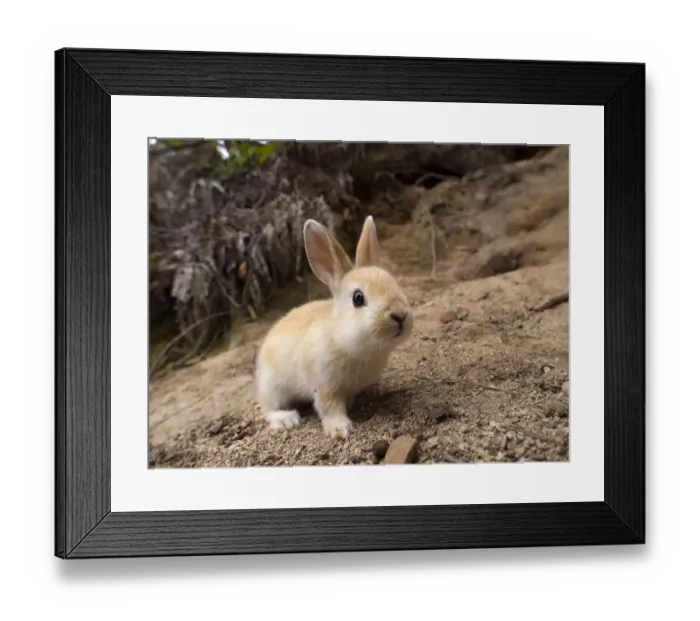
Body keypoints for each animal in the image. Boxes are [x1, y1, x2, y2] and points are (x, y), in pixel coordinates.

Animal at [255, 215, 414, 439]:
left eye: (395, 283)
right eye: (358, 298)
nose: (400, 315)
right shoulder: (325, 387)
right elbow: (329, 408)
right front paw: (340, 430)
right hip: (273, 387)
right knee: (267, 408)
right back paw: (286, 419)